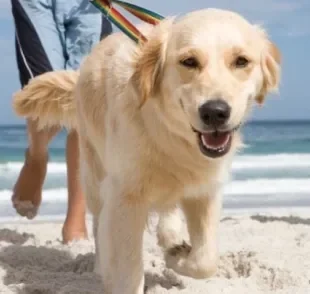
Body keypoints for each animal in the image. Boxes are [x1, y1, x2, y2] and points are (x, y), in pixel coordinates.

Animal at [13, 8, 280, 292]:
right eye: (189, 61)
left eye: (241, 61)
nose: (215, 112)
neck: (171, 135)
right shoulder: (124, 195)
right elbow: (128, 266)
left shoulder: (204, 191)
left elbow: (206, 261)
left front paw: (177, 256)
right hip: (95, 174)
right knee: (99, 222)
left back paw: (171, 236)